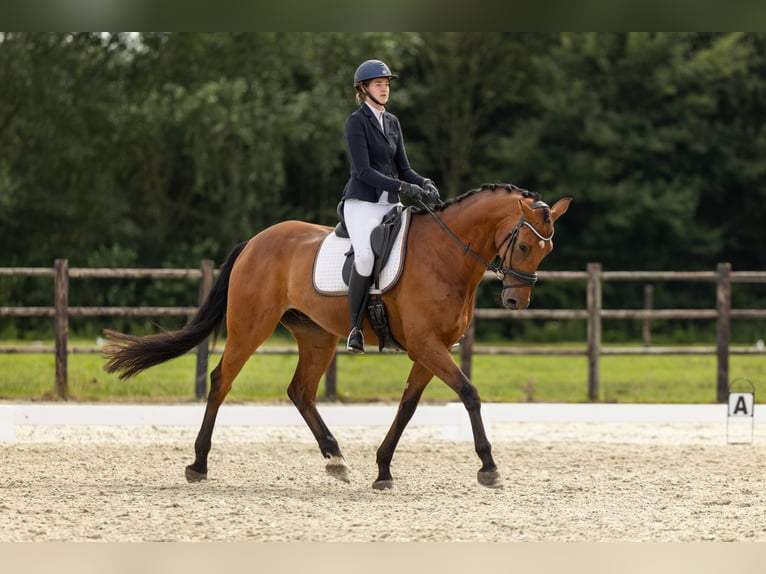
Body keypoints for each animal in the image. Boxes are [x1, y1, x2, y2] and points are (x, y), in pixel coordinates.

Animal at [103, 183, 571, 489]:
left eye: (546, 250)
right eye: (525, 246)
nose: (515, 300)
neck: (446, 255)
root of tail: (255, 241)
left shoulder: (430, 349)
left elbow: (407, 407)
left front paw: (382, 470)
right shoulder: (427, 345)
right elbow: (469, 393)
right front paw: (489, 466)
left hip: (317, 337)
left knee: (301, 391)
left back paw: (336, 458)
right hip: (250, 327)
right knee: (222, 380)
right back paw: (199, 463)